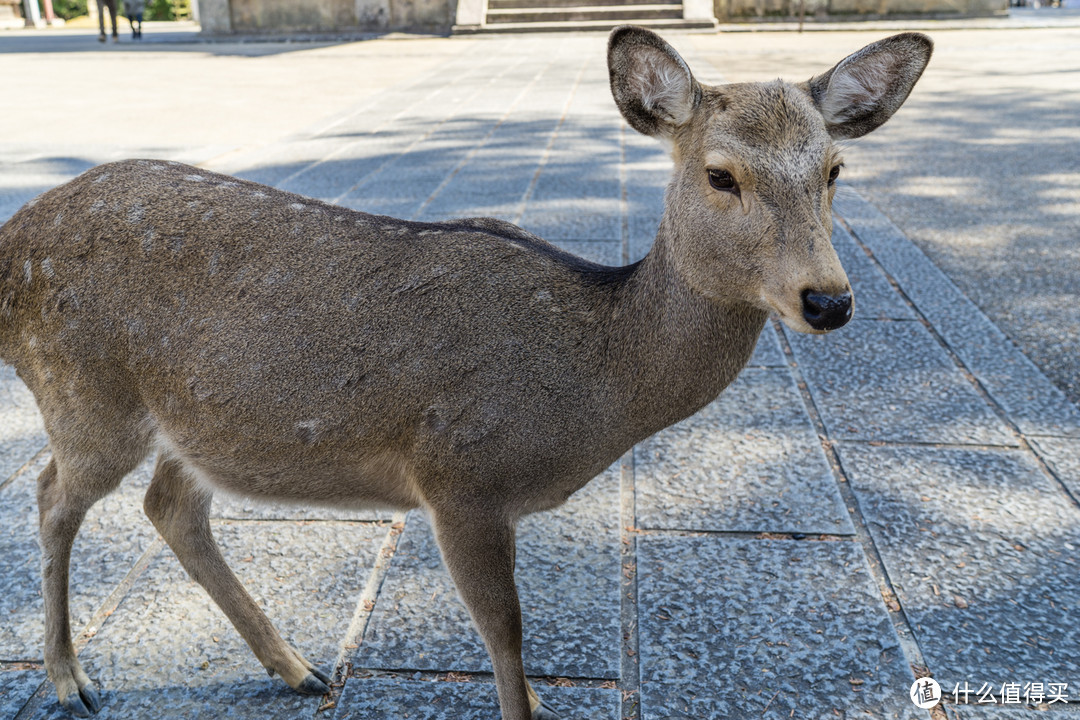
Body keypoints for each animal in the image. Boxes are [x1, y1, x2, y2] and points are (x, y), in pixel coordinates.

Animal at [0, 25, 928, 720]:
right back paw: (71, 681)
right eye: (719, 174)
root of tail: (12, 244)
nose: (828, 300)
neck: (593, 383)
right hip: (86, 394)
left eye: (835, 171)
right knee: (52, 496)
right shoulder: (461, 477)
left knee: (170, 504)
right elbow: (506, 637)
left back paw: (298, 667)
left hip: (190, 421)